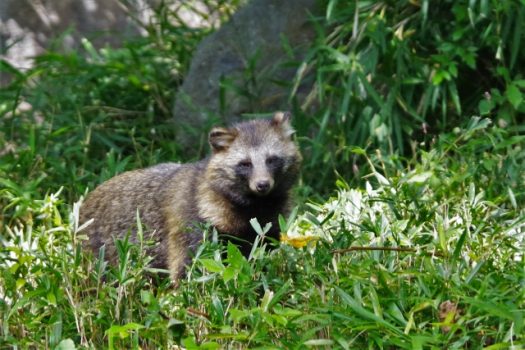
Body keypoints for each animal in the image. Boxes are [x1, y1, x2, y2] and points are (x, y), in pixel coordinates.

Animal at [80, 112, 300, 282]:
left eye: (272, 160)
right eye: (245, 164)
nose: (262, 184)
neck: (256, 202)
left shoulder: (272, 222)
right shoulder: (191, 218)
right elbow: (187, 266)